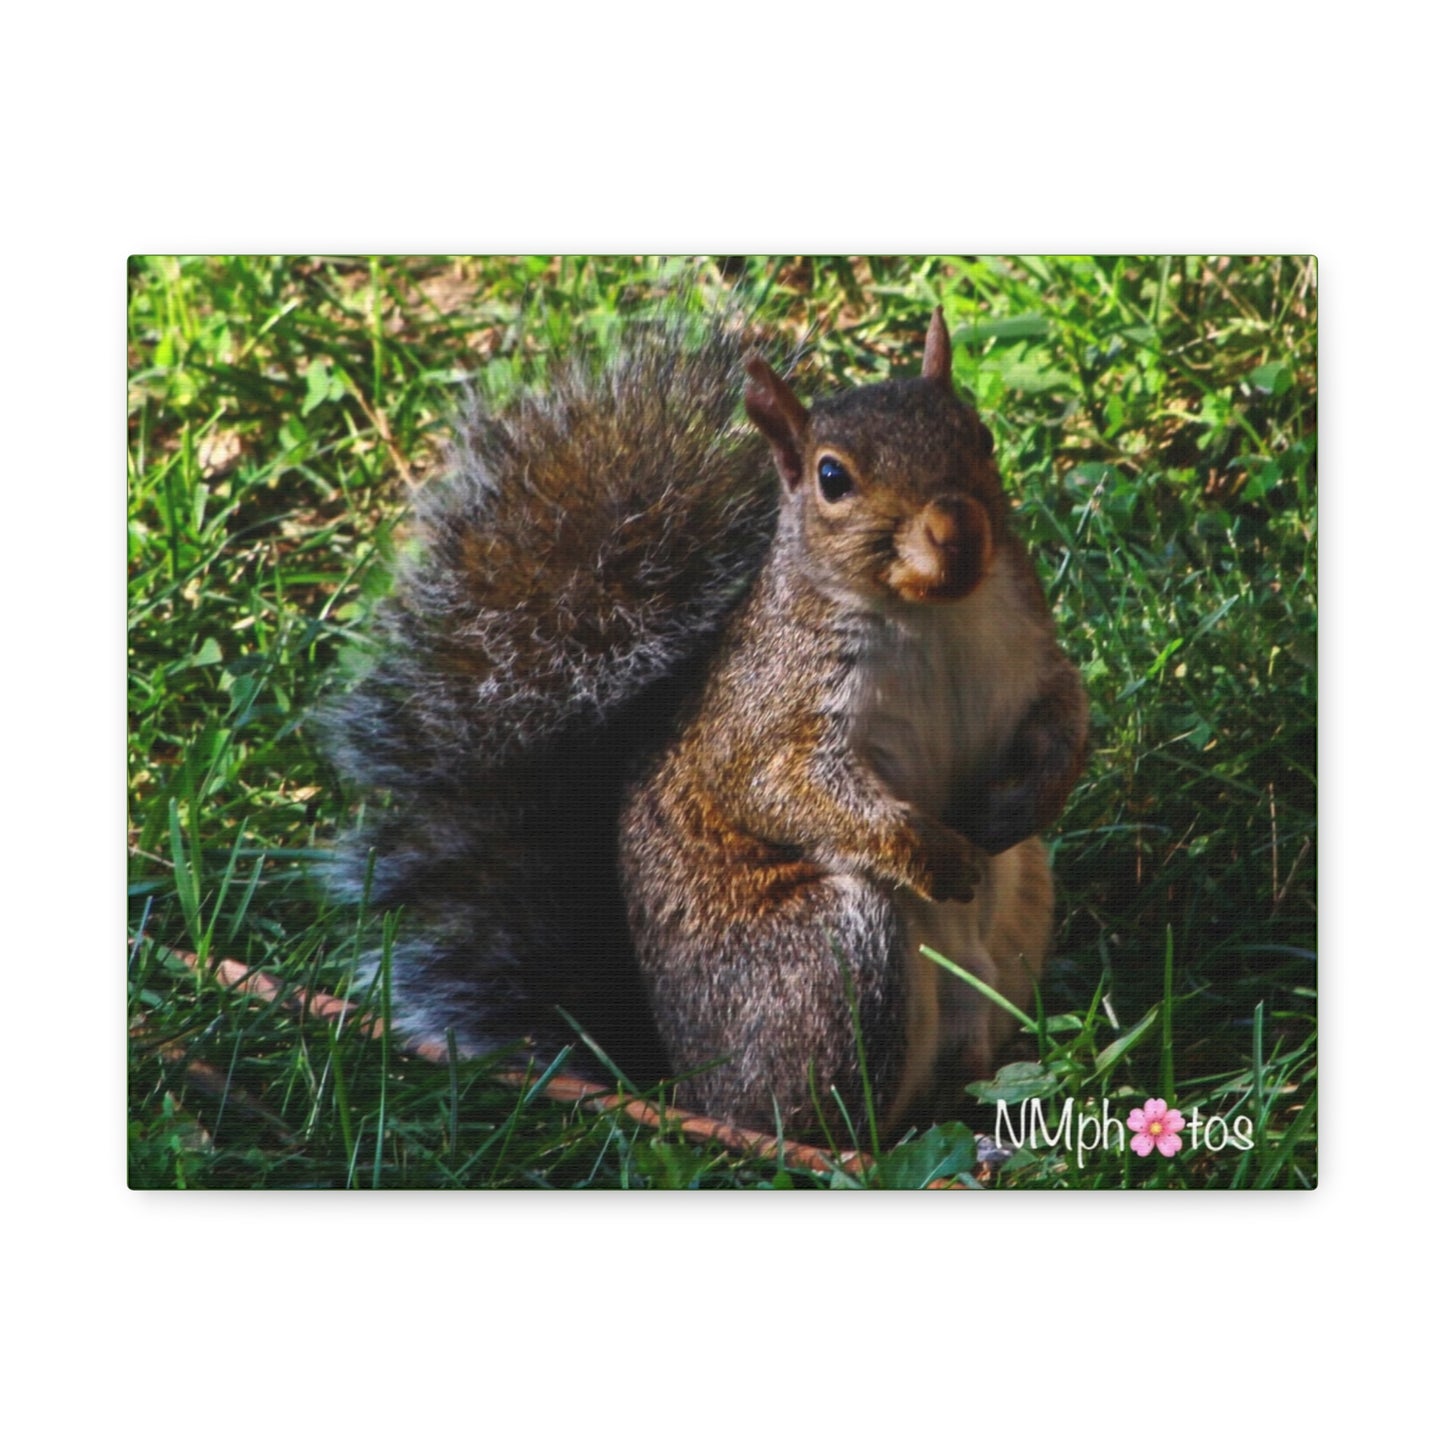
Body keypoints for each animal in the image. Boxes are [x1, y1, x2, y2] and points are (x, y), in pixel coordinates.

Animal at [320, 297, 1087, 1140]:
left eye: (980, 435)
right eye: (831, 478)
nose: (958, 530)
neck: (933, 615)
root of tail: (688, 1088)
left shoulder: (1028, 656)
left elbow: (1066, 715)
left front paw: (1025, 799)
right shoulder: (767, 717)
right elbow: (786, 791)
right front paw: (934, 854)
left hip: (1022, 902)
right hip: (827, 957)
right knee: (827, 1119)